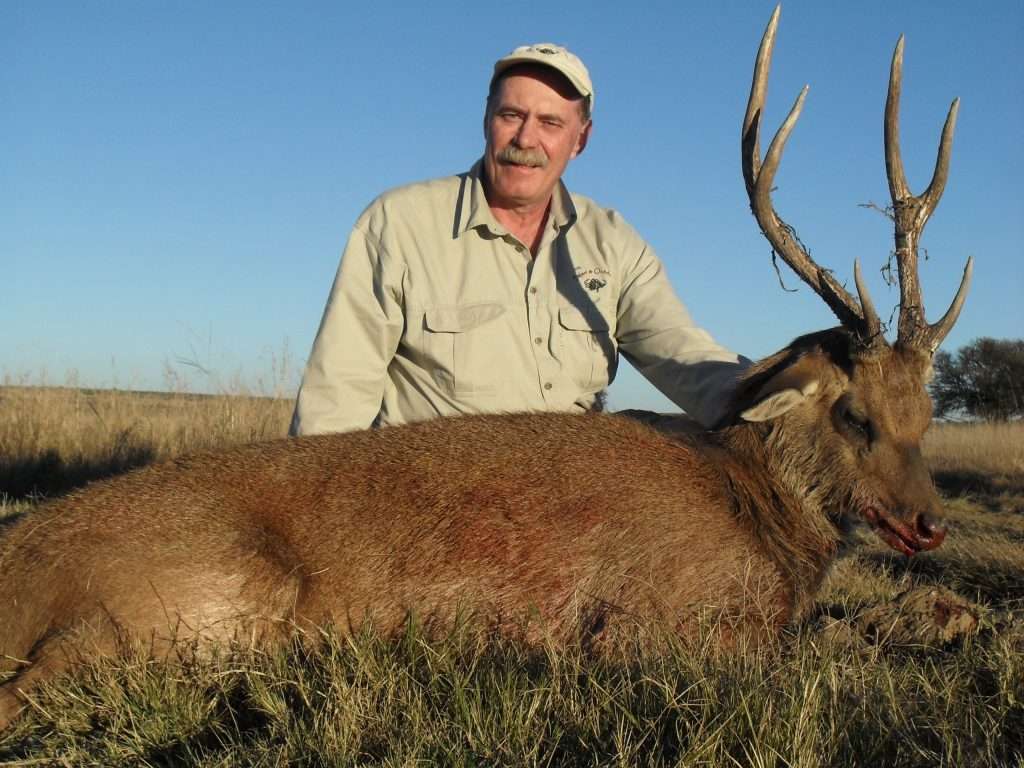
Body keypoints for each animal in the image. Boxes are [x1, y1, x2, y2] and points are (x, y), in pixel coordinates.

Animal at [0, 8, 971, 729]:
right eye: (855, 415)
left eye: (927, 414)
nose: (930, 524)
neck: (758, 511)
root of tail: (19, 569)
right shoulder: (655, 626)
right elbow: (824, 645)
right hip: (197, 606)